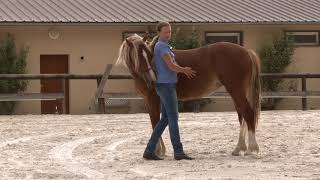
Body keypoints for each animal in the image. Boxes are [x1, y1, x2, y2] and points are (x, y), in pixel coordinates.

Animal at [116, 33, 262, 156]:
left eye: (148, 55)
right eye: (139, 56)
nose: (152, 80)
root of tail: (246, 51)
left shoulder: (153, 100)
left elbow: (155, 122)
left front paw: (158, 151)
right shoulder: (151, 100)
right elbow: (156, 123)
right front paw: (159, 150)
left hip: (236, 90)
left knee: (248, 113)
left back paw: (251, 149)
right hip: (238, 91)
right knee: (242, 116)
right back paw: (239, 149)